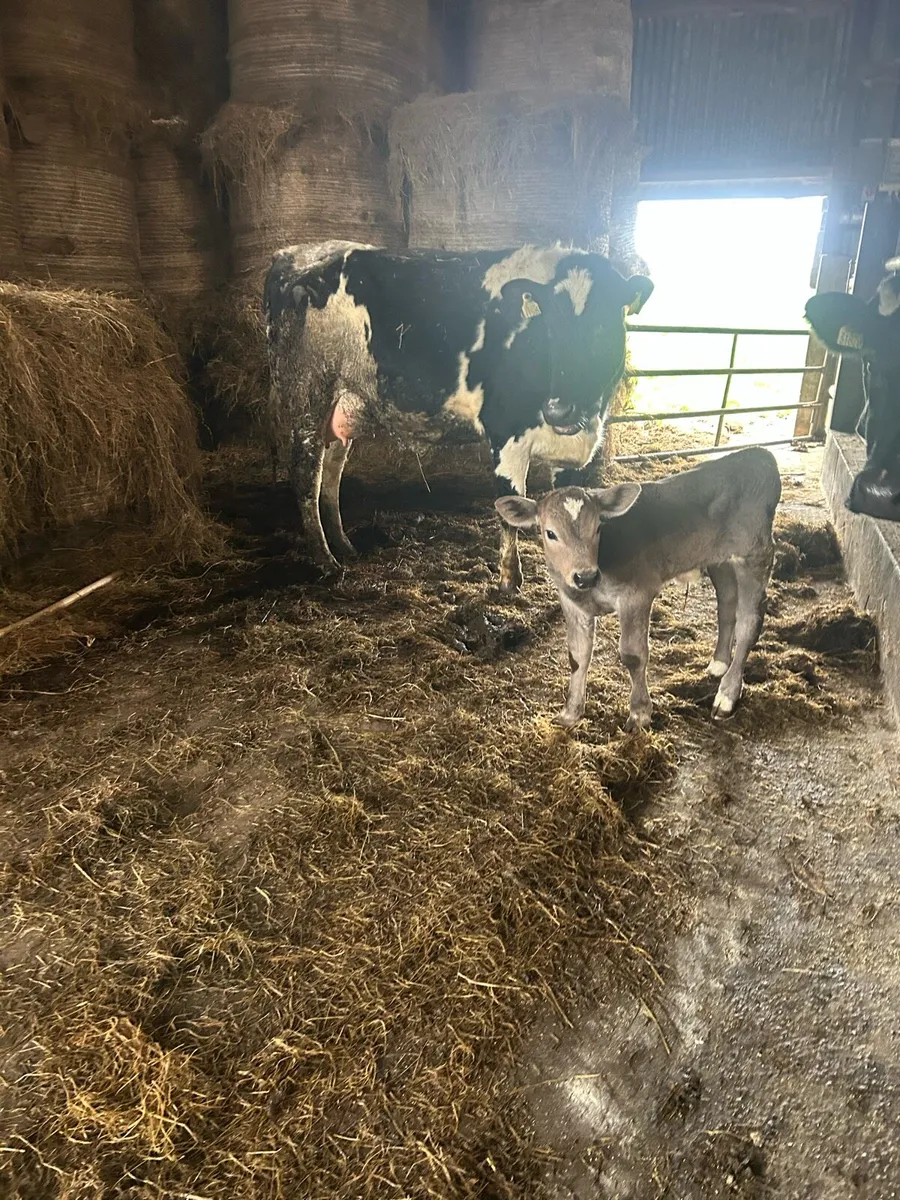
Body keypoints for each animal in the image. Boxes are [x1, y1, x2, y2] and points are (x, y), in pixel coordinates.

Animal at [263, 242, 653, 589]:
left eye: (601, 326)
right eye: (550, 330)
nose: (557, 408)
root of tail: (293, 254)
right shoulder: (505, 435)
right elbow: (508, 512)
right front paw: (509, 583)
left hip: (343, 405)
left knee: (331, 475)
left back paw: (344, 546)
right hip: (306, 394)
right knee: (306, 477)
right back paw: (325, 560)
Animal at [495, 447, 781, 730]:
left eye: (598, 528)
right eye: (550, 533)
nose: (585, 576)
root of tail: (759, 455)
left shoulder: (636, 596)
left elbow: (633, 655)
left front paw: (639, 714)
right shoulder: (572, 603)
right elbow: (577, 656)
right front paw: (571, 712)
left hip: (754, 555)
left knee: (749, 623)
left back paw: (727, 696)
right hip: (720, 561)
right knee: (726, 606)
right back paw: (719, 664)